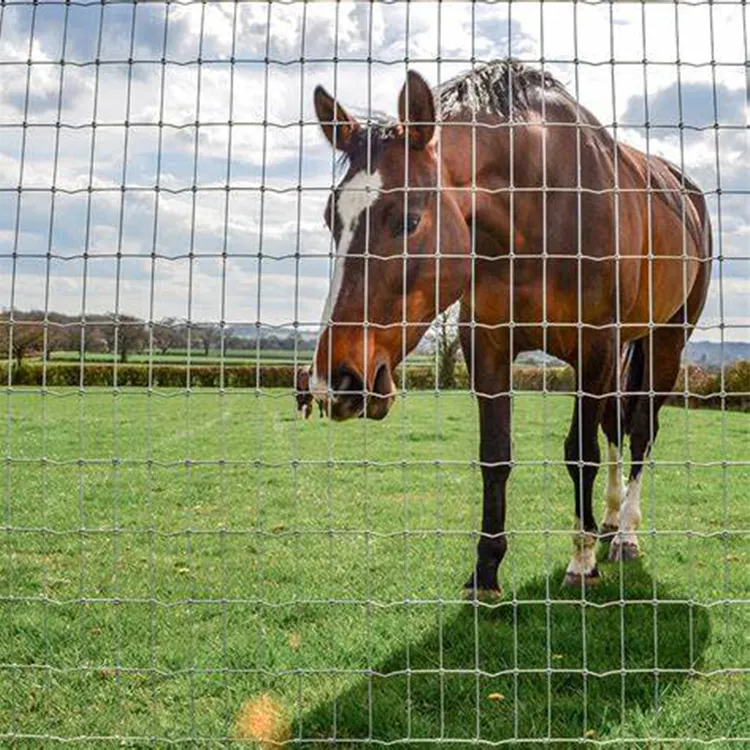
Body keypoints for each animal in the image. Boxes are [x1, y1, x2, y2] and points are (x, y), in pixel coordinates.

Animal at [308, 60, 712, 600]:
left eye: (409, 220)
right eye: (331, 218)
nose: (337, 380)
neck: (539, 206)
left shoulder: (595, 347)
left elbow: (579, 453)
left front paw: (581, 561)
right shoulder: (488, 343)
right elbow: (495, 456)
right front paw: (485, 571)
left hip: (666, 338)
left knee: (642, 429)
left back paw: (624, 533)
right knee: (616, 426)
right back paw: (608, 522)